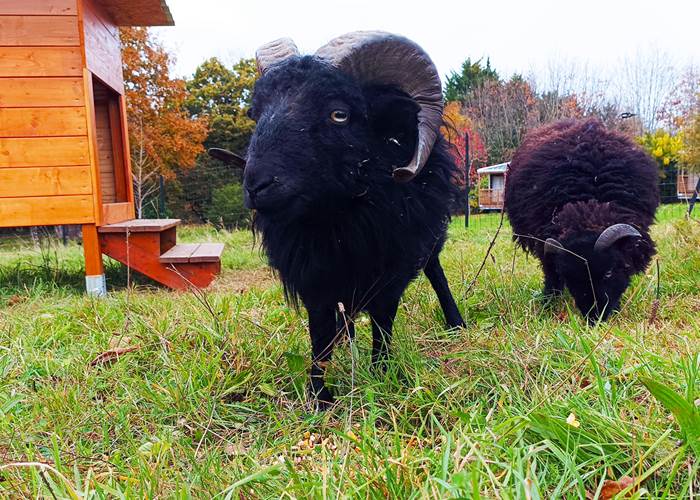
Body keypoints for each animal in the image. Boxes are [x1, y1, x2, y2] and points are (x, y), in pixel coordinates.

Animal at [225, 31, 465, 408]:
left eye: (339, 114)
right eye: (255, 112)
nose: (256, 185)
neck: (336, 225)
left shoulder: (392, 272)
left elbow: (383, 324)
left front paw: (381, 373)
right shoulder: (313, 278)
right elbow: (320, 335)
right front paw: (320, 397)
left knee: (435, 272)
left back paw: (455, 323)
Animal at [504, 118, 659, 321]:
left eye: (609, 272)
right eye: (571, 277)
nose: (595, 318)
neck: (590, 206)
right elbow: (552, 276)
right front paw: (548, 303)